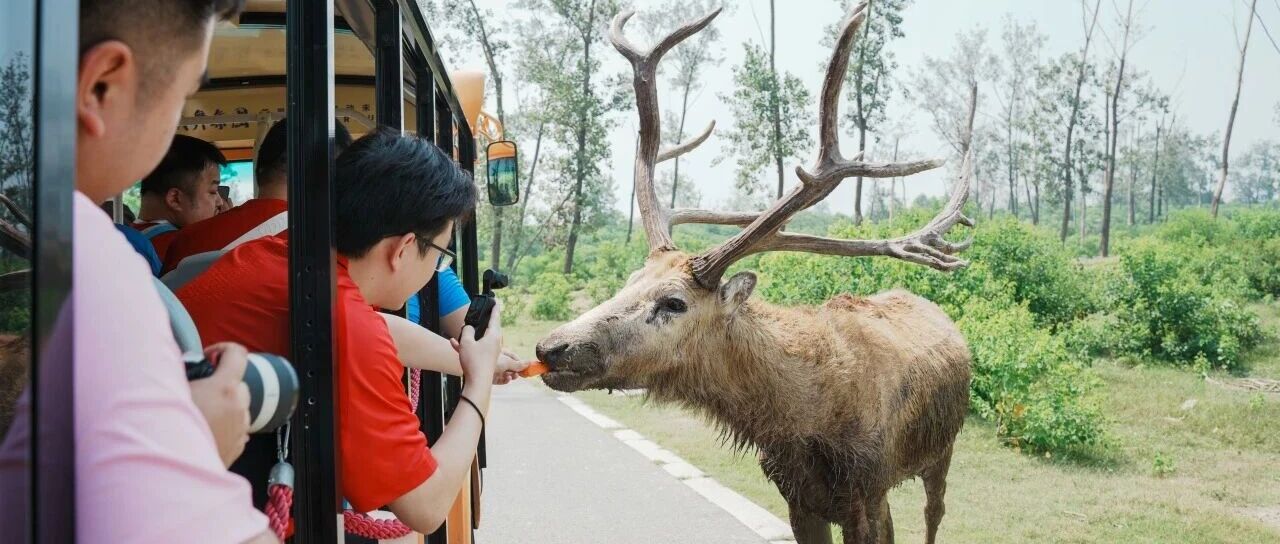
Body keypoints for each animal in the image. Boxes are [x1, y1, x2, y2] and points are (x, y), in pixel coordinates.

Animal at [534, 4, 976, 544]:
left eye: (674, 302)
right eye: (629, 282)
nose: (552, 347)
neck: (804, 422)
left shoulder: (867, 490)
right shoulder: (797, 496)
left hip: (942, 451)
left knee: (935, 516)